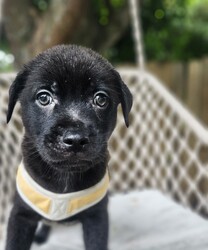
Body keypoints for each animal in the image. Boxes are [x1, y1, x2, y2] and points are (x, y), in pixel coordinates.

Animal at [7, 45, 132, 250]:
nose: (75, 139)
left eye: (101, 99)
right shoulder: (21, 216)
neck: (65, 175)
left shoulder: (96, 217)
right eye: (44, 97)